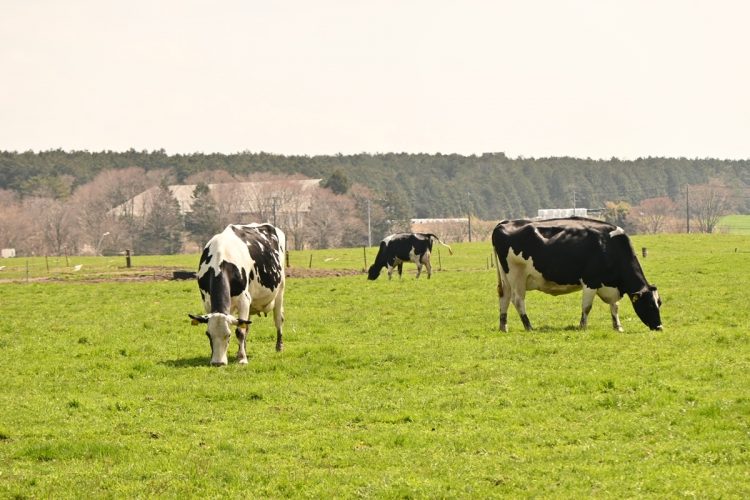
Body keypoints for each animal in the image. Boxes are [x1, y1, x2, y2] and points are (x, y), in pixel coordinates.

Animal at [189, 225, 286, 366]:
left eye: (228, 335)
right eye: (208, 334)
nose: (218, 363)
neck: (220, 262)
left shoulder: (243, 300)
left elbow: (240, 331)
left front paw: (242, 358)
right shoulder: (207, 302)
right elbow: (241, 327)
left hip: (280, 290)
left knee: (278, 320)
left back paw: (279, 346)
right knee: (246, 325)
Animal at [494, 218, 664, 332]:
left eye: (659, 303)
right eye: (649, 304)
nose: (659, 327)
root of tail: (504, 222)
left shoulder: (610, 286)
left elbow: (615, 306)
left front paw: (618, 327)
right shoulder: (591, 281)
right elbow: (587, 307)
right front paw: (582, 326)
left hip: (506, 278)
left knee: (504, 298)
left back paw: (504, 327)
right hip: (517, 275)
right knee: (518, 300)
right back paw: (529, 326)